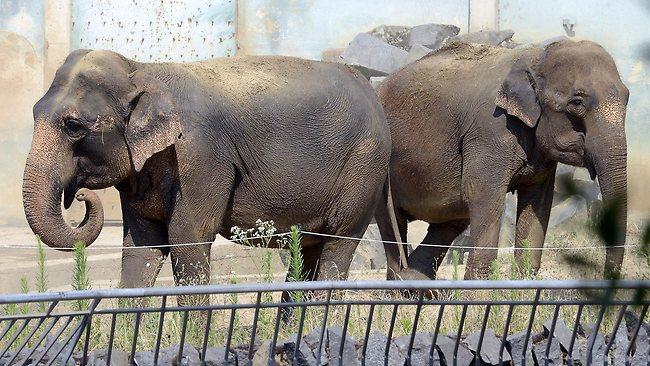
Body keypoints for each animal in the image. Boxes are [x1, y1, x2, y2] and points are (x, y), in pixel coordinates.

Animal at [22, 48, 390, 302]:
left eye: (72, 126)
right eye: (34, 112)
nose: (80, 196)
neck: (142, 69)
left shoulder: (200, 157)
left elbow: (188, 241)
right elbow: (141, 249)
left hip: (364, 169)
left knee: (337, 247)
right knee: (308, 254)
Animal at [374, 40, 628, 278]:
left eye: (627, 98)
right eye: (577, 103)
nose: (606, 275)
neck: (537, 58)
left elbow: (537, 200)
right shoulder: (490, 130)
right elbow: (481, 193)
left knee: (449, 223)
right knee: (393, 224)